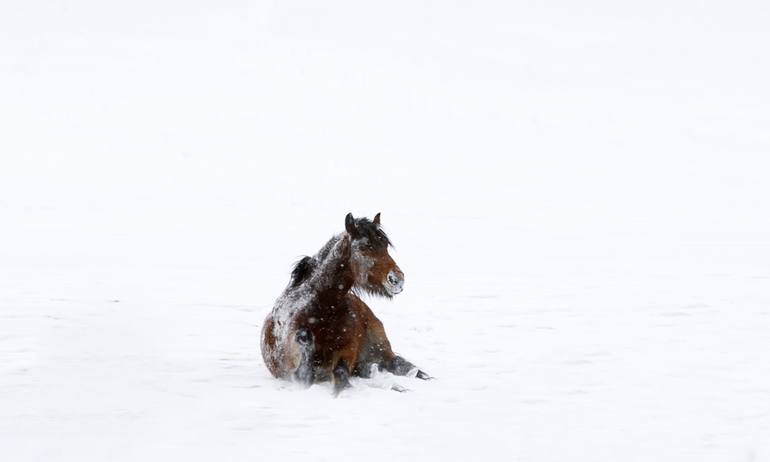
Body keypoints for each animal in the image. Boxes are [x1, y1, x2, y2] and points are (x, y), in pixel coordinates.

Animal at [258, 212, 426, 394]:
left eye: (385, 246)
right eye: (364, 247)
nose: (397, 280)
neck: (322, 311)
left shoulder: (346, 353)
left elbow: (340, 372)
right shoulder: (291, 365)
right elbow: (305, 369)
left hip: (382, 353)